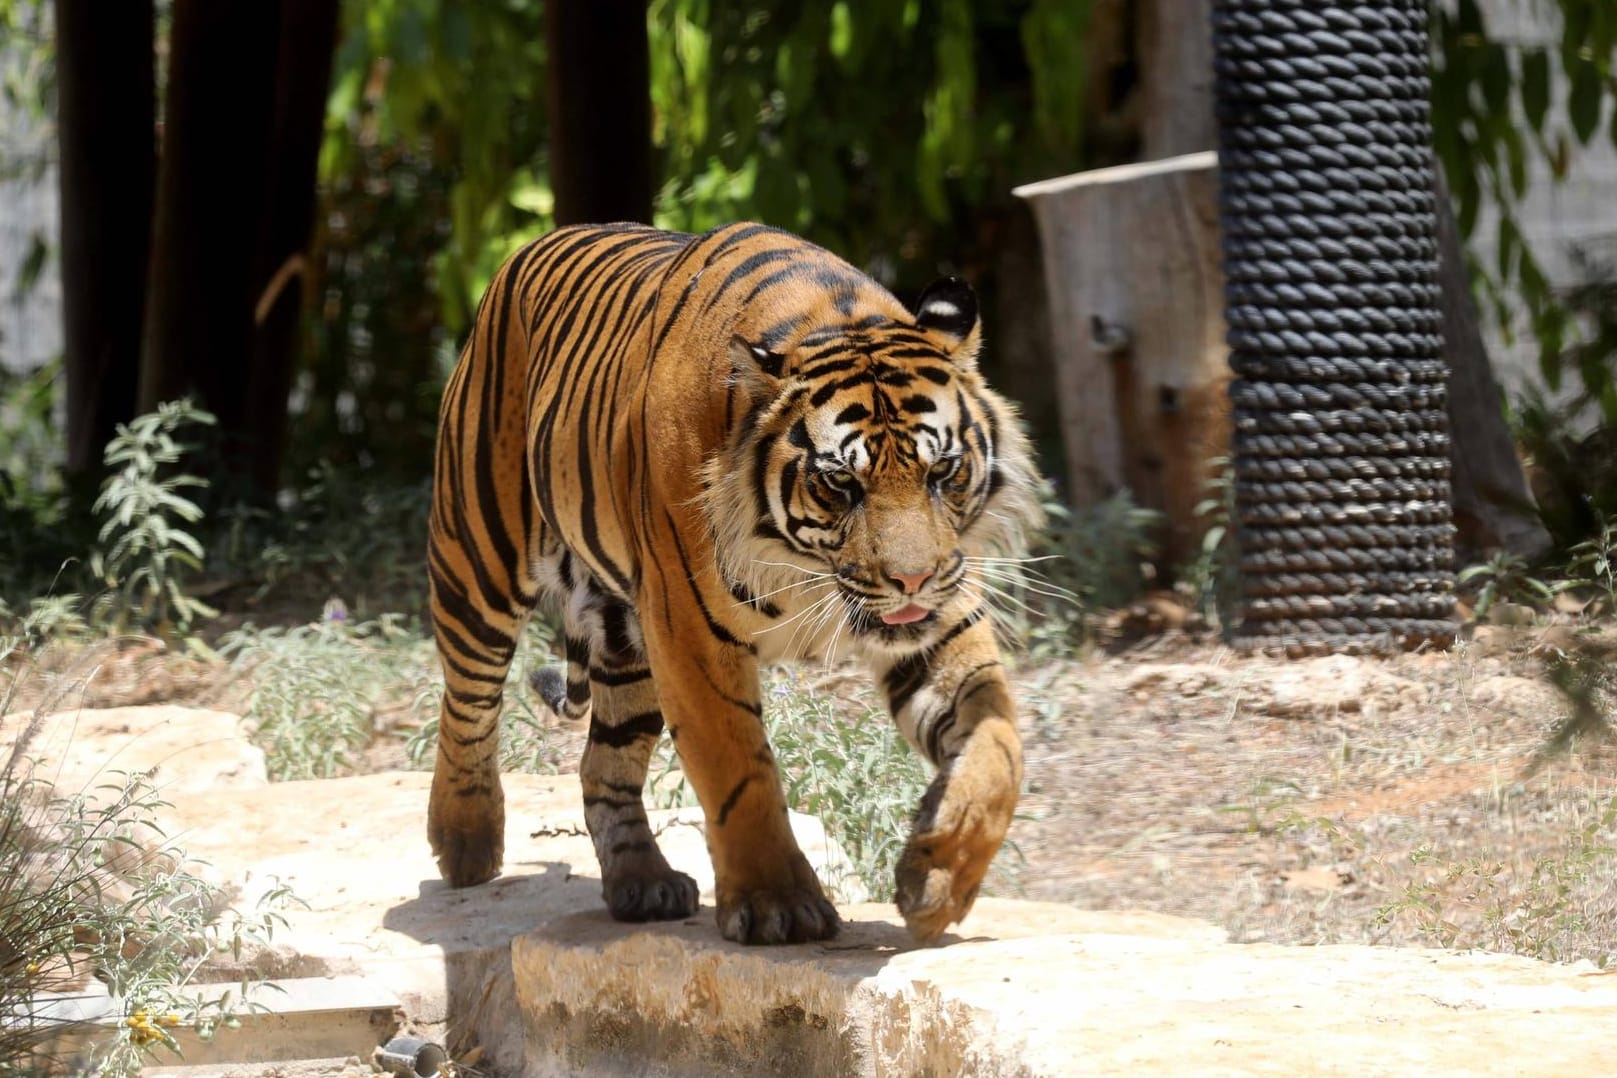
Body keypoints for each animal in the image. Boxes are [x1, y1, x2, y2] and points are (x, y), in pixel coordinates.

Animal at [423, 221, 1041, 943]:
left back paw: (643, 883)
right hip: (477, 563)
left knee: (601, 764)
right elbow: (739, 773)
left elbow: (997, 747)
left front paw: (938, 877)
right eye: (841, 483)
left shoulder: (941, 619)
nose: (910, 580)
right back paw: (465, 843)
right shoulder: (689, 636)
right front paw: (779, 905)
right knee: (466, 704)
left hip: (625, 641)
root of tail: (527, 253)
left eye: (941, 471)